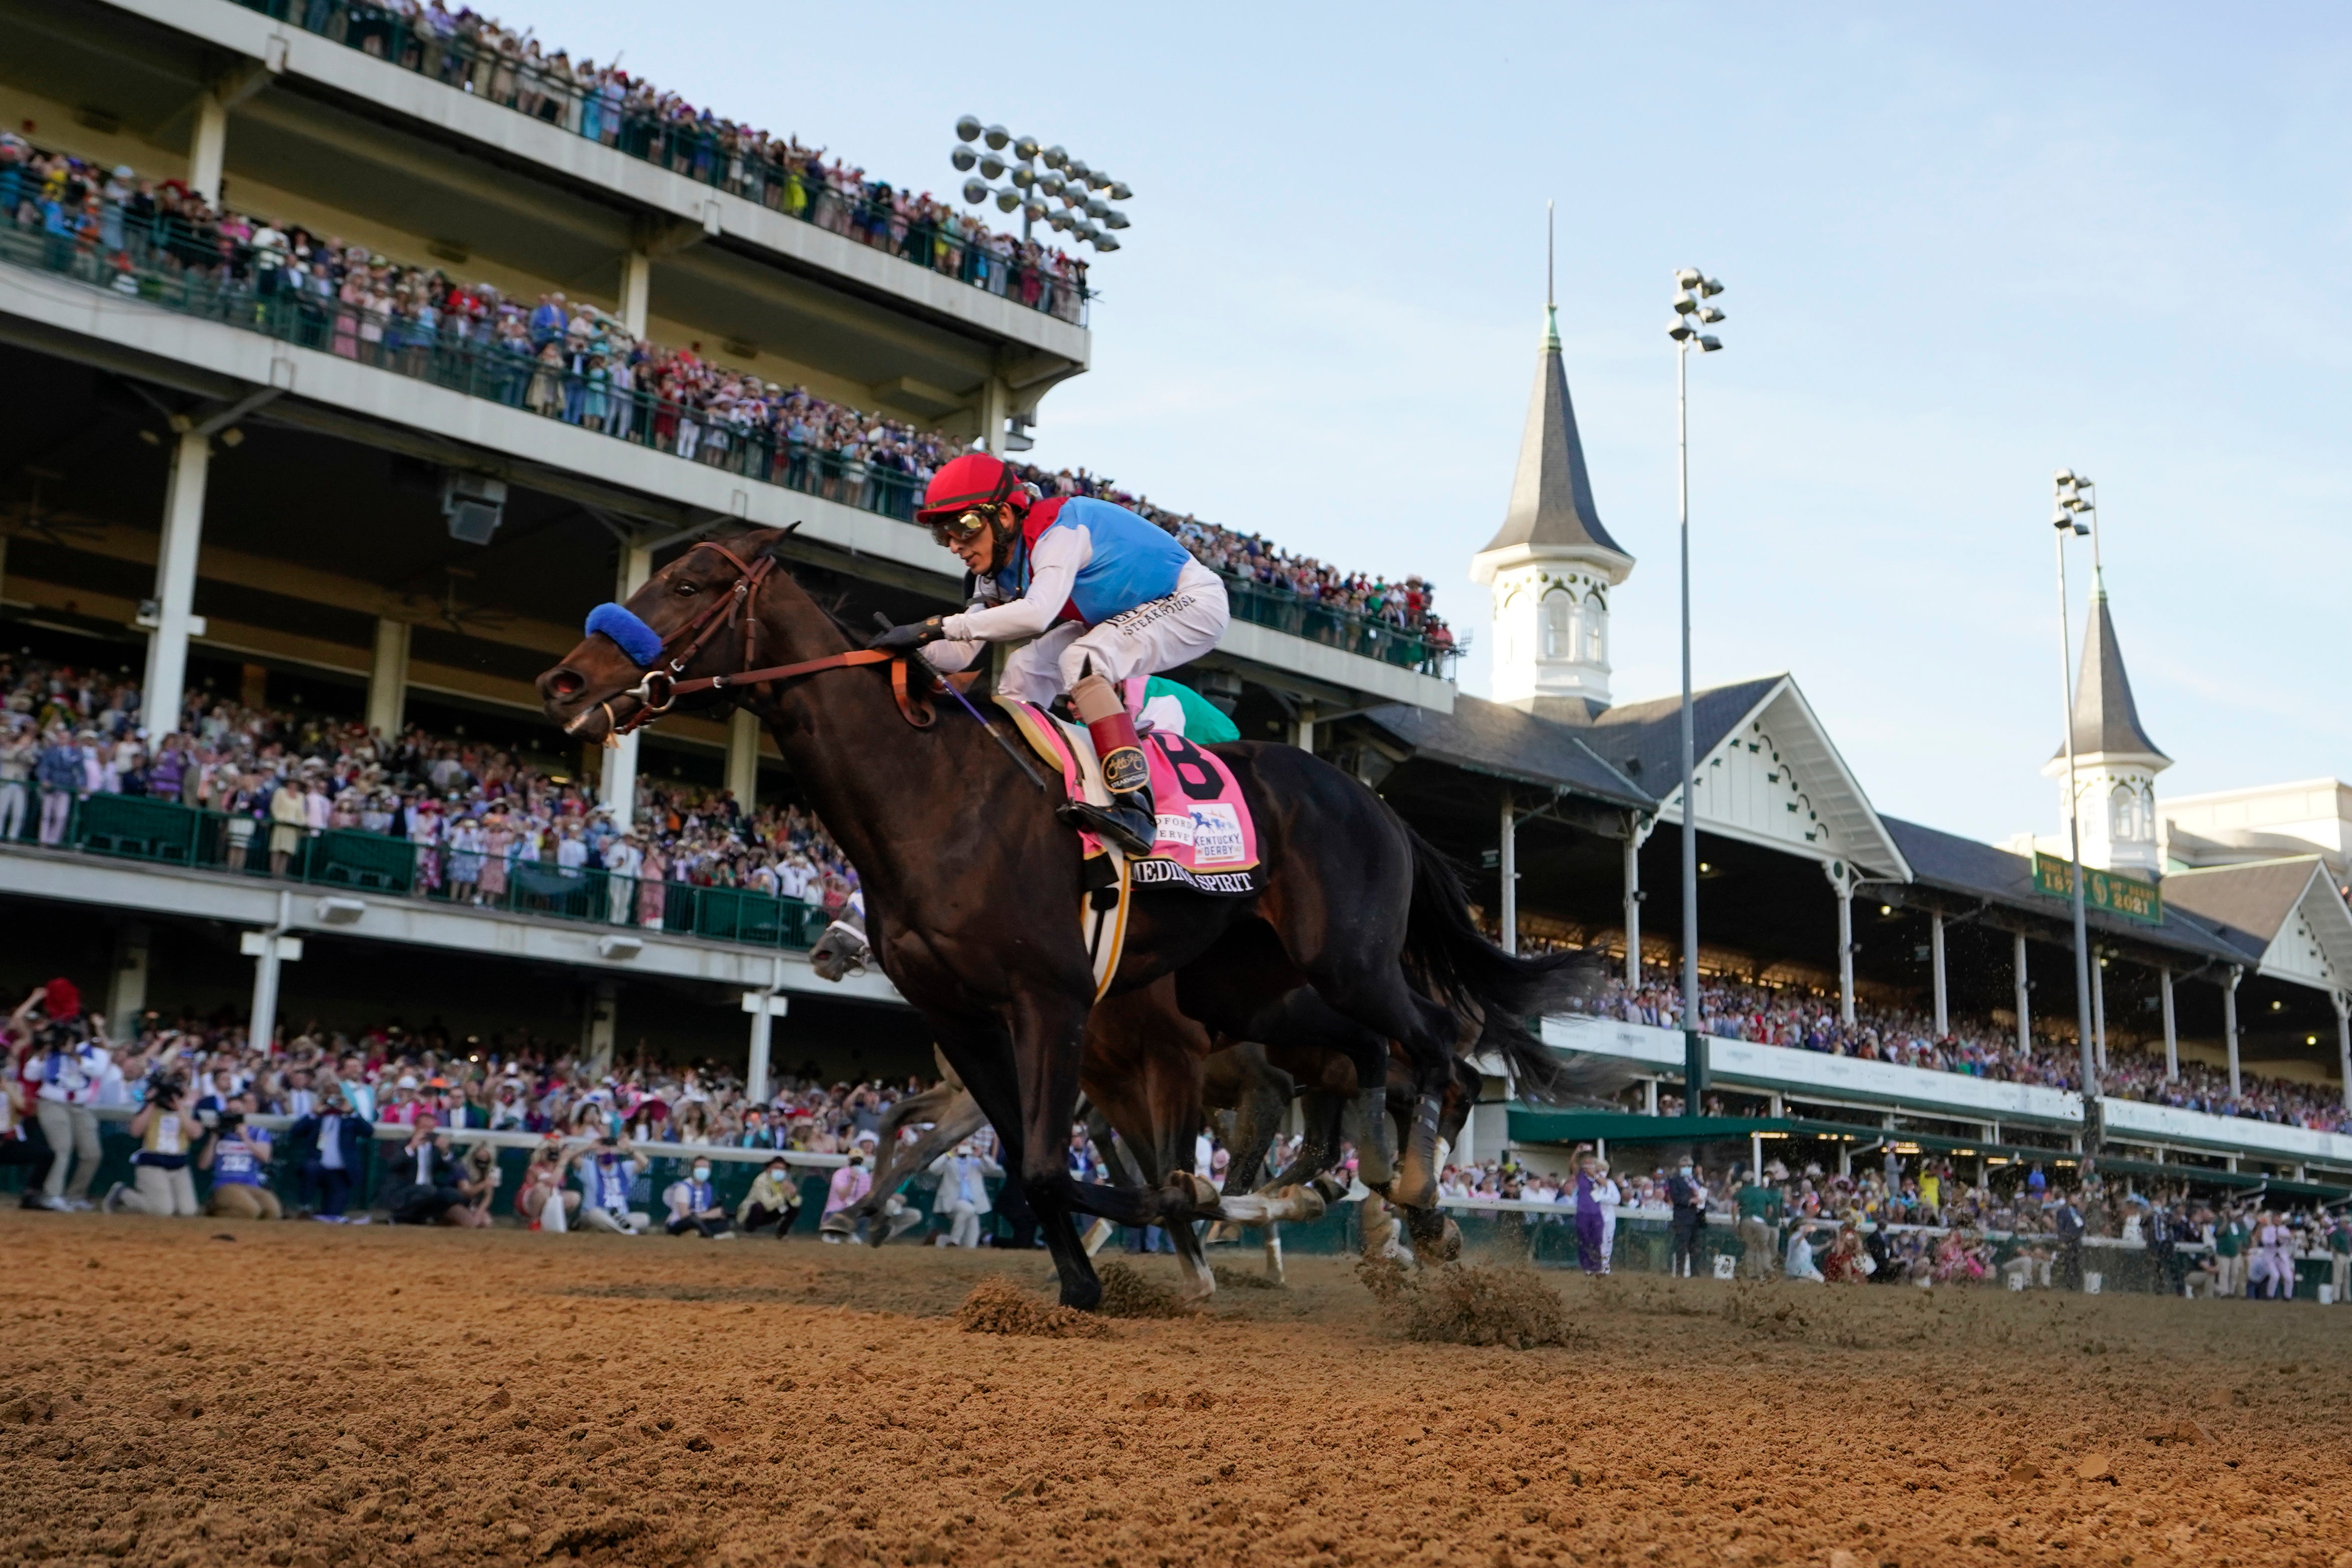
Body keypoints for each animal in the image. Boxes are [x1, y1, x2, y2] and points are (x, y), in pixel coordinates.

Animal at [541, 531, 1590, 1316]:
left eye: (687, 583)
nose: (564, 681)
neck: (935, 795)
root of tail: (1375, 803)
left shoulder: (1054, 1002)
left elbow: (1055, 1164)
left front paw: (1161, 1227)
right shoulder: (973, 1020)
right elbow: (1020, 1157)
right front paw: (1090, 1268)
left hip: (1348, 960)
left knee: (1442, 1051)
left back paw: (1418, 1203)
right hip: (1254, 987)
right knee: (1373, 1065)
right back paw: (1356, 1192)